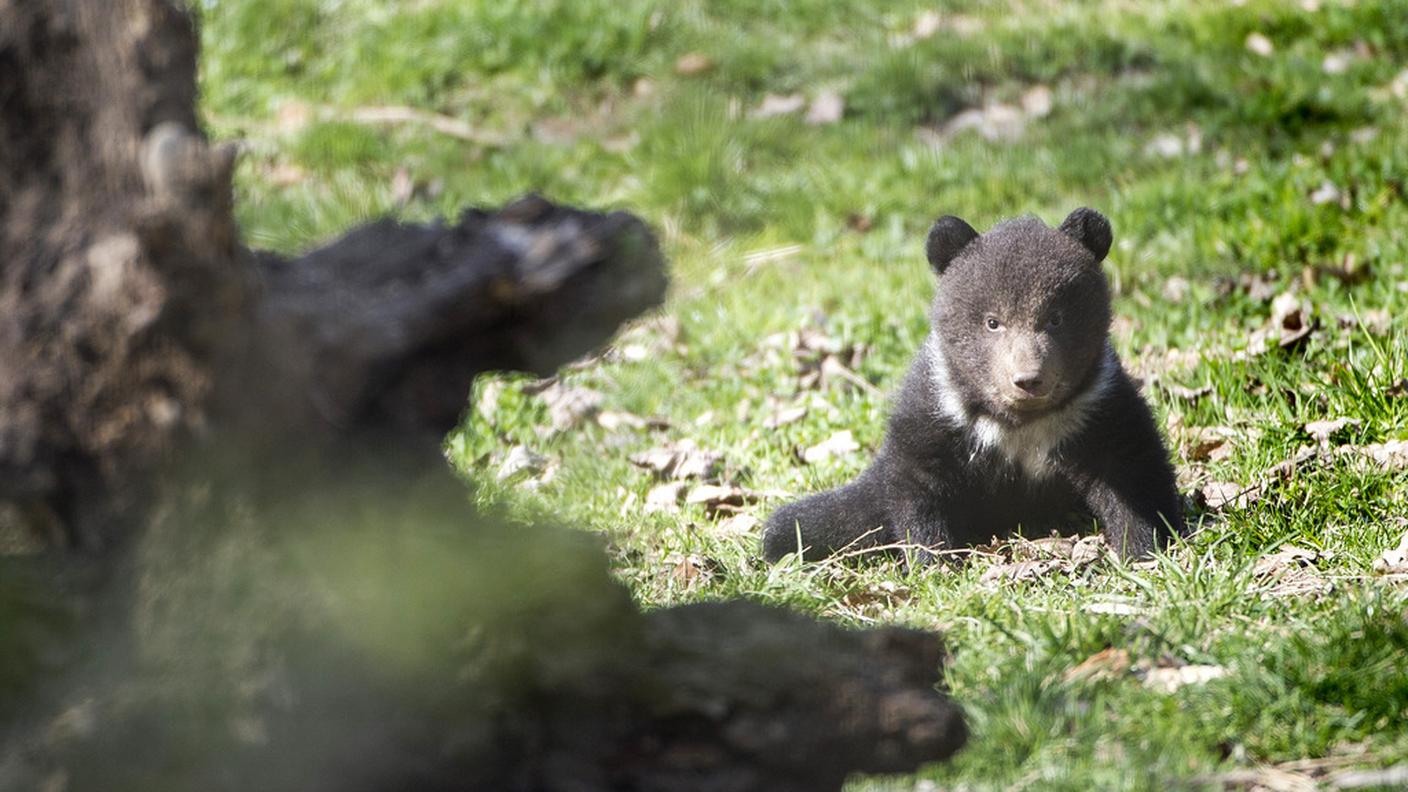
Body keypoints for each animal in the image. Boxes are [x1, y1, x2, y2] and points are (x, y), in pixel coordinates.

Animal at [762, 207, 1185, 564]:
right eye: (992, 322)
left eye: (1056, 318)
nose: (1028, 379)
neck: (1020, 421)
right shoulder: (936, 407)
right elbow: (920, 482)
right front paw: (935, 561)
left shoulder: (1099, 405)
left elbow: (1131, 468)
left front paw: (1144, 547)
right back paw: (781, 536)